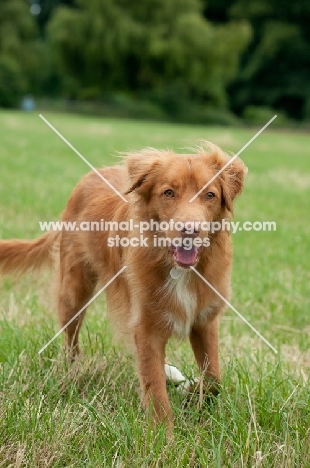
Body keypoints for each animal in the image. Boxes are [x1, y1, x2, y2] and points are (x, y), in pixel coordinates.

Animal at [0, 142, 247, 432]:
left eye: (210, 195)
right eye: (169, 192)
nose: (190, 230)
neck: (177, 269)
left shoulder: (204, 319)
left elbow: (213, 379)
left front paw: (192, 391)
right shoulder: (145, 327)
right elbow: (156, 390)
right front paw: (163, 437)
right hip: (74, 291)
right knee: (71, 339)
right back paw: (73, 371)